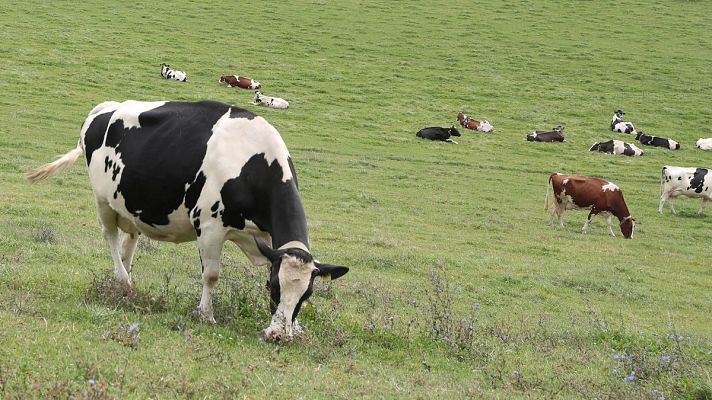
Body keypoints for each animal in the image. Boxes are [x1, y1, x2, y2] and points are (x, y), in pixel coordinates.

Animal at [27, 100, 349, 341]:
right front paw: (206, 315)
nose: (277, 335)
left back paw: (124, 284)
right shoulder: (209, 226)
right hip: (103, 201)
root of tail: (104, 107)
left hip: (131, 207)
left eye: (307, 294)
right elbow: (211, 275)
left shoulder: (268, 239)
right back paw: (123, 281)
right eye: (272, 287)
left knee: (128, 243)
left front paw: (296, 327)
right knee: (110, 239)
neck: (252, 160)